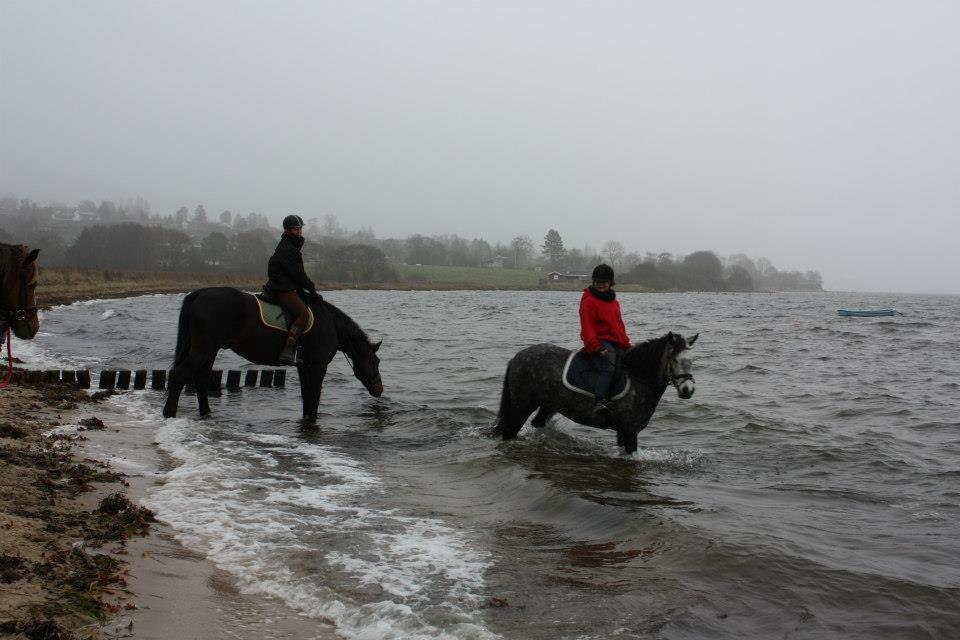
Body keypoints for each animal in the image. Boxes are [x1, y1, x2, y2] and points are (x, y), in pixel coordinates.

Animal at [161, 286, 382, 418]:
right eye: (376, 361)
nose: (380, 389)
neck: (332, 325)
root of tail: (200, 293)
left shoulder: (304, 366)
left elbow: (307, 396)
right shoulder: (318, 366)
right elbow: (314, 397)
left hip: (209, 350)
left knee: (200, 377)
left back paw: (205, 413)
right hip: (204, 349)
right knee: (180, 374)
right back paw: (169, 413)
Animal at [496, 332, 696, 452]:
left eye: (692, 360)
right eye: (674, 359)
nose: (688, 390)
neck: (638, 377)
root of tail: (517, 357)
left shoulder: (623, 432)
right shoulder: (630, 431)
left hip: (548, 406)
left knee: (536, 423)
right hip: (522, 405)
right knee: (509, 431)